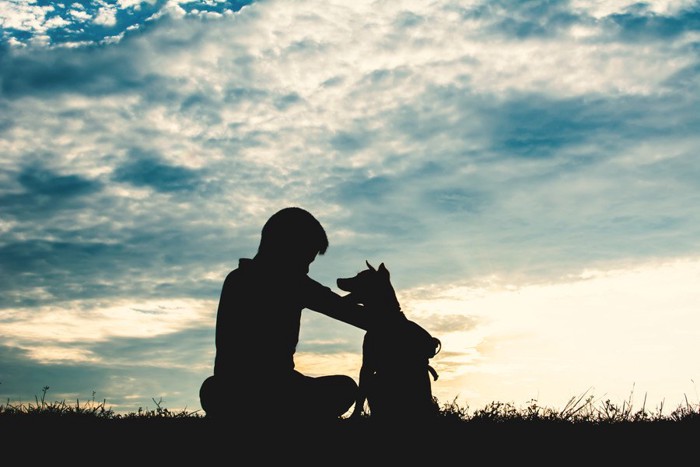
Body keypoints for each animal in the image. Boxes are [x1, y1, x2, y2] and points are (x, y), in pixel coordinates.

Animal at [336, 262, 440, 422]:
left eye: (360, 277)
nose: (338, 280)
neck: (386, 319)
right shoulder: (367, 364)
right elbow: (361, 395)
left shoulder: (367, 366)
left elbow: (360, 396)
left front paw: (353, 418)